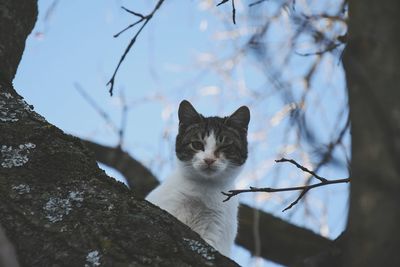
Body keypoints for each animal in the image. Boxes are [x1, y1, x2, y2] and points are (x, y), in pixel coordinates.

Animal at [145, 100, 248, 258]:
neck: (203, 189)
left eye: (224, 146)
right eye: (197, 144)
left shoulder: (216, 228)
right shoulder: (168, 206)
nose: (209, 160)